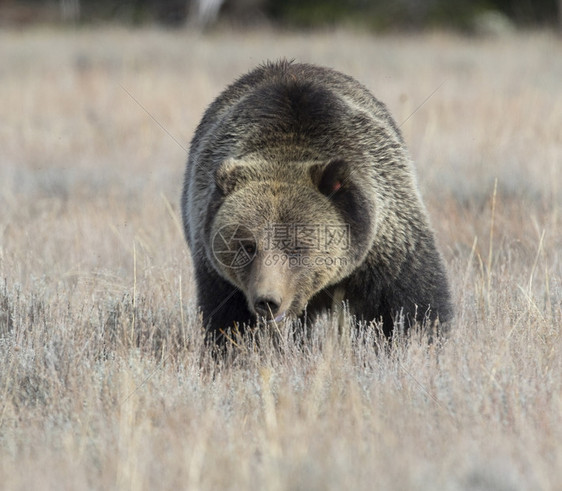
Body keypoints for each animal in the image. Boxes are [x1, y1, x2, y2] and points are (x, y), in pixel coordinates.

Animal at [179, 59, 450, 344]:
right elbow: (229, 322)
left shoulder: (384, 242)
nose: (268, 301)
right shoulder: (218, 273)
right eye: (247, 246)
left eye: (297, 246)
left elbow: (409, 306)